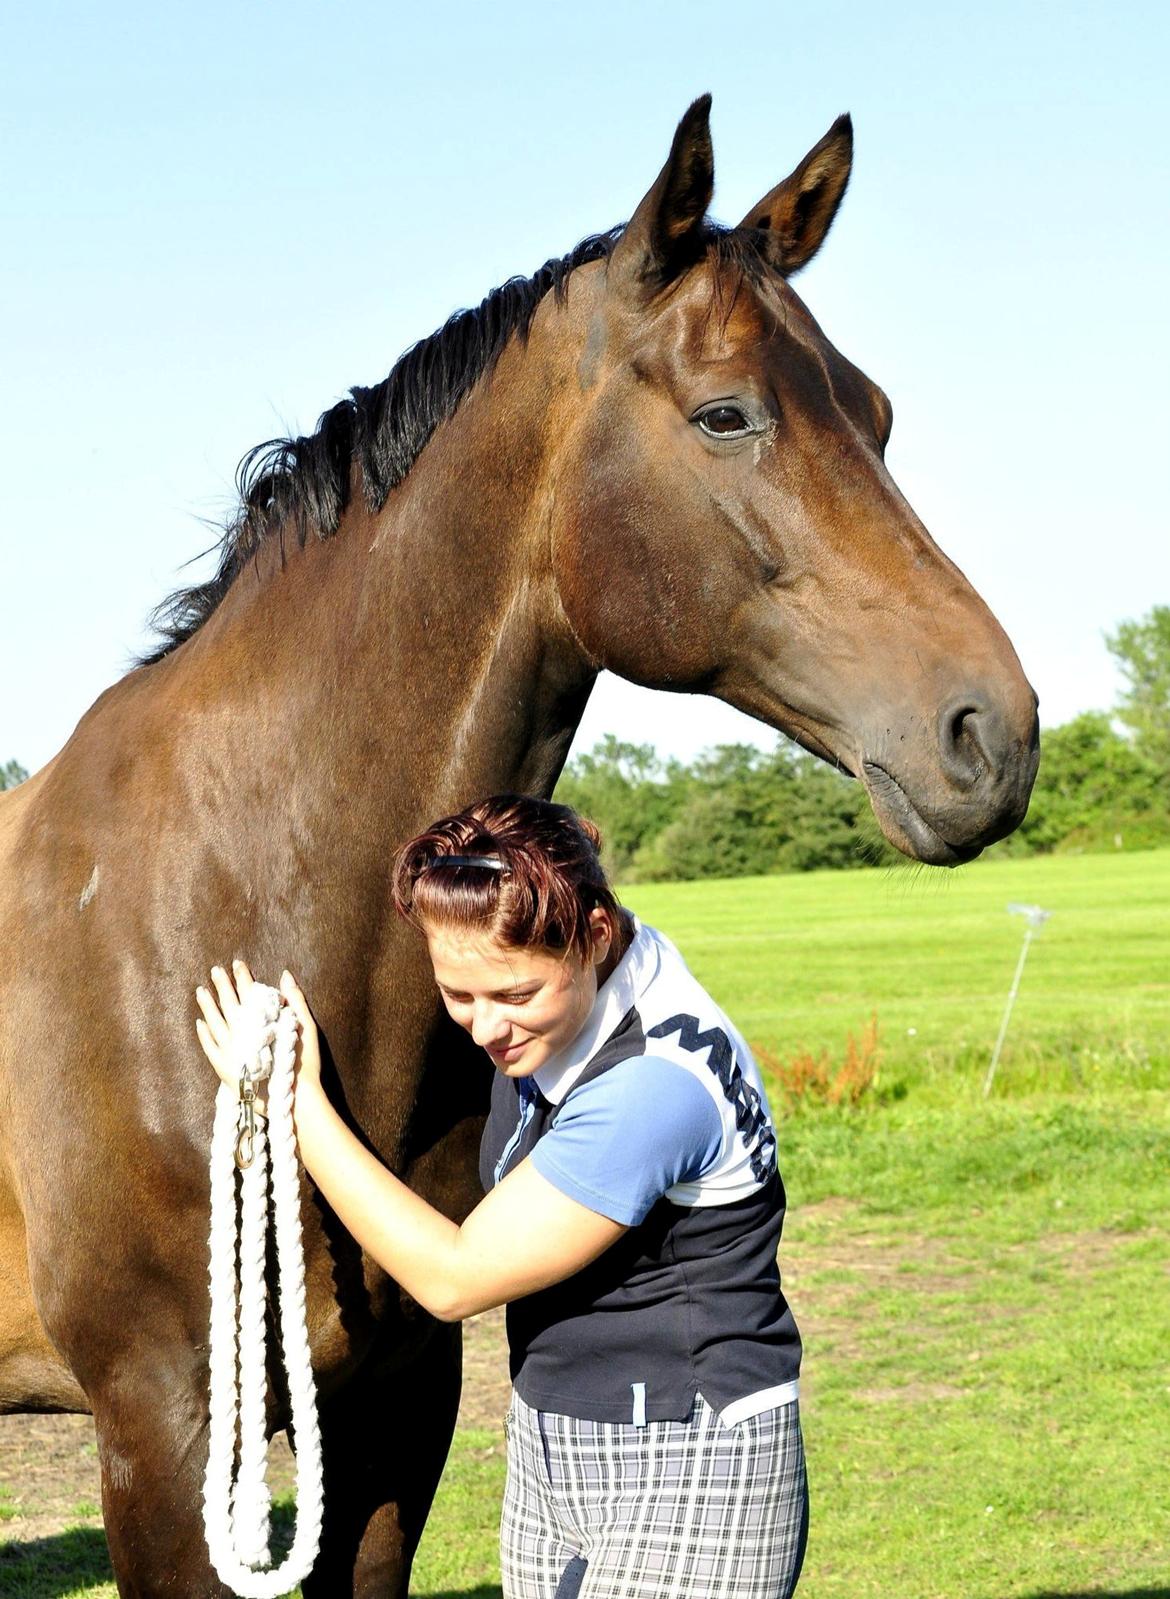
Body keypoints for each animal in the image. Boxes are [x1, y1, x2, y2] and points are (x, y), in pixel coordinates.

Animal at [2, 96, 1042, 1586]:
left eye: (879, 415)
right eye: (725, 412)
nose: (989, 732)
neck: (225, 901)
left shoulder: (396, 1402)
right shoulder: (162, 1426)